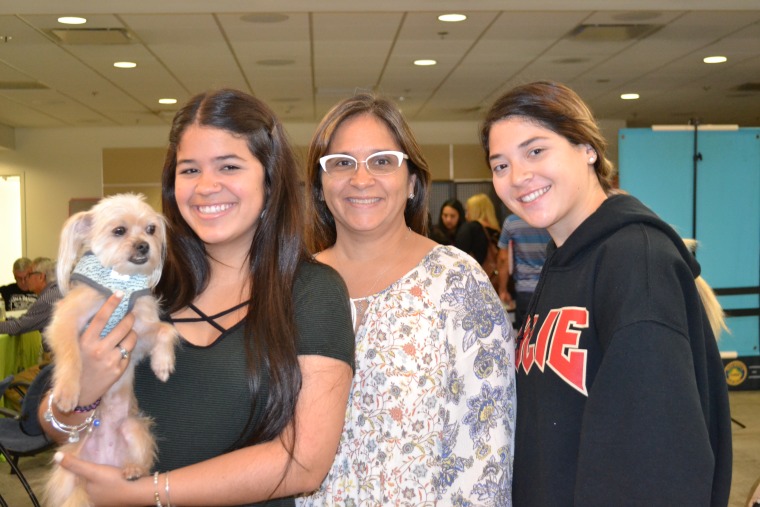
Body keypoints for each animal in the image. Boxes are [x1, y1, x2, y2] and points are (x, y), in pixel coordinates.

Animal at [43, 193, 178, 507]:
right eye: (119, 231)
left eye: (151, 229)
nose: (144, 245)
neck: (121, 280)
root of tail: (104, 461)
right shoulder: (65, 321)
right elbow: (71, 355)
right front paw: (68, 392)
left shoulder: (137, 333)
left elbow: (166, 329)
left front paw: (162, 363)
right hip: (67, 467)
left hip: (135, 430)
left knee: (139, 460)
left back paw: (132, 470)